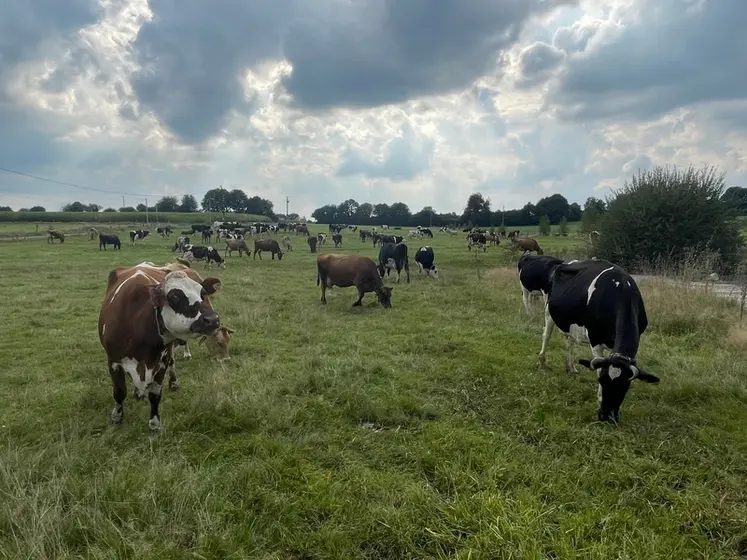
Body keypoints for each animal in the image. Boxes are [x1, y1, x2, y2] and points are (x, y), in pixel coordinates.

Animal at [98, 262, 222, 432]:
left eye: (202, 293)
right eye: (174, 296)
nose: (212, 319)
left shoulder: (161, 361)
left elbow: (155, 394)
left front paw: (154, 424)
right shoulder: (113, 361)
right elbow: (119, 392)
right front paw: (116, 417)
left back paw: (172, 383)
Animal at [537, 258, 660, 424]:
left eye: (625, 387)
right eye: (601, 381)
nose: (606, 417)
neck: (620, 292)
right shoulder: (595, 340)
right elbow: (598, 366)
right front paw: (599, 397)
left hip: (569, 323)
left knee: (569, 343)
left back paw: (571, 368)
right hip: (549, 311)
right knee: (546, 335)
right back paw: (542, 362)